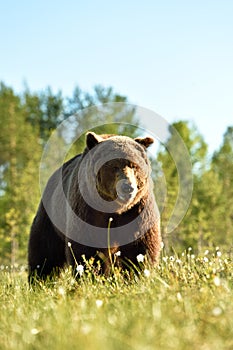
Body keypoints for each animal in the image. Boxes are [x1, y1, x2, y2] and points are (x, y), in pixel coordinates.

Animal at [28, 131, 161, 282]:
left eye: (134, 166)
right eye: (114, 166)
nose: (127, 187)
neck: (115, 209)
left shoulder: (137, 211)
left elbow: (140, 247)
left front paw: (136, 275)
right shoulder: (88, 211)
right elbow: (87, 248)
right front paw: (91, 276)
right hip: (51, 216)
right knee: (45, 252)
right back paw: (39, 279)